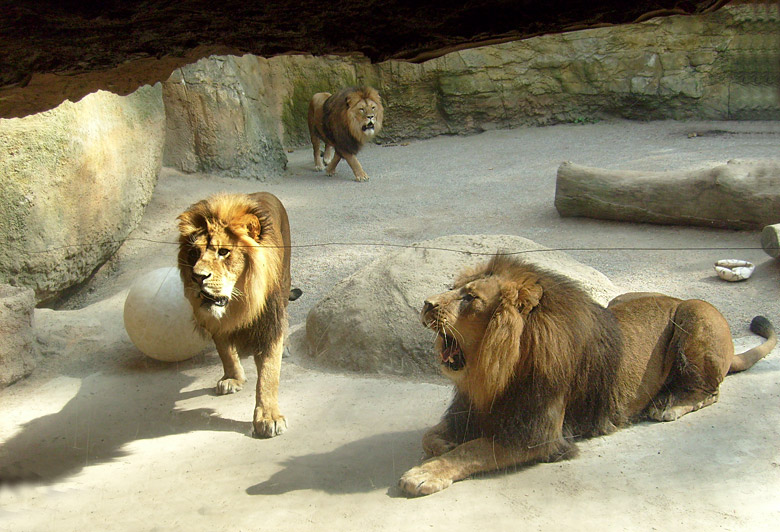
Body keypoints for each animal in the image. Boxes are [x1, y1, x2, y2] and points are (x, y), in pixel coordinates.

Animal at [178, 191, 300, 436]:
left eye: (224, 252)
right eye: (194, 253)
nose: (197, 277)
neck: (240, 302)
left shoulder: (268, 323)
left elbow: (268, 373)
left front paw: (268, 417)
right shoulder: (215, 322)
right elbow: (224, 350)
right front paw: (233, 378)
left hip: (284, 281)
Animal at [400, 256, 776, 496]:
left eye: (470, 298)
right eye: (453, 287)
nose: (426, 303)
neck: (492, 369)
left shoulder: (537, 436)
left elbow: (472, 450)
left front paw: (424, 473)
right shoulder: (469, 409)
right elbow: (431, 437)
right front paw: (444, 444)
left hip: (696, 312)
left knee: (710, 389)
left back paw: (668, 404)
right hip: (621, 299)